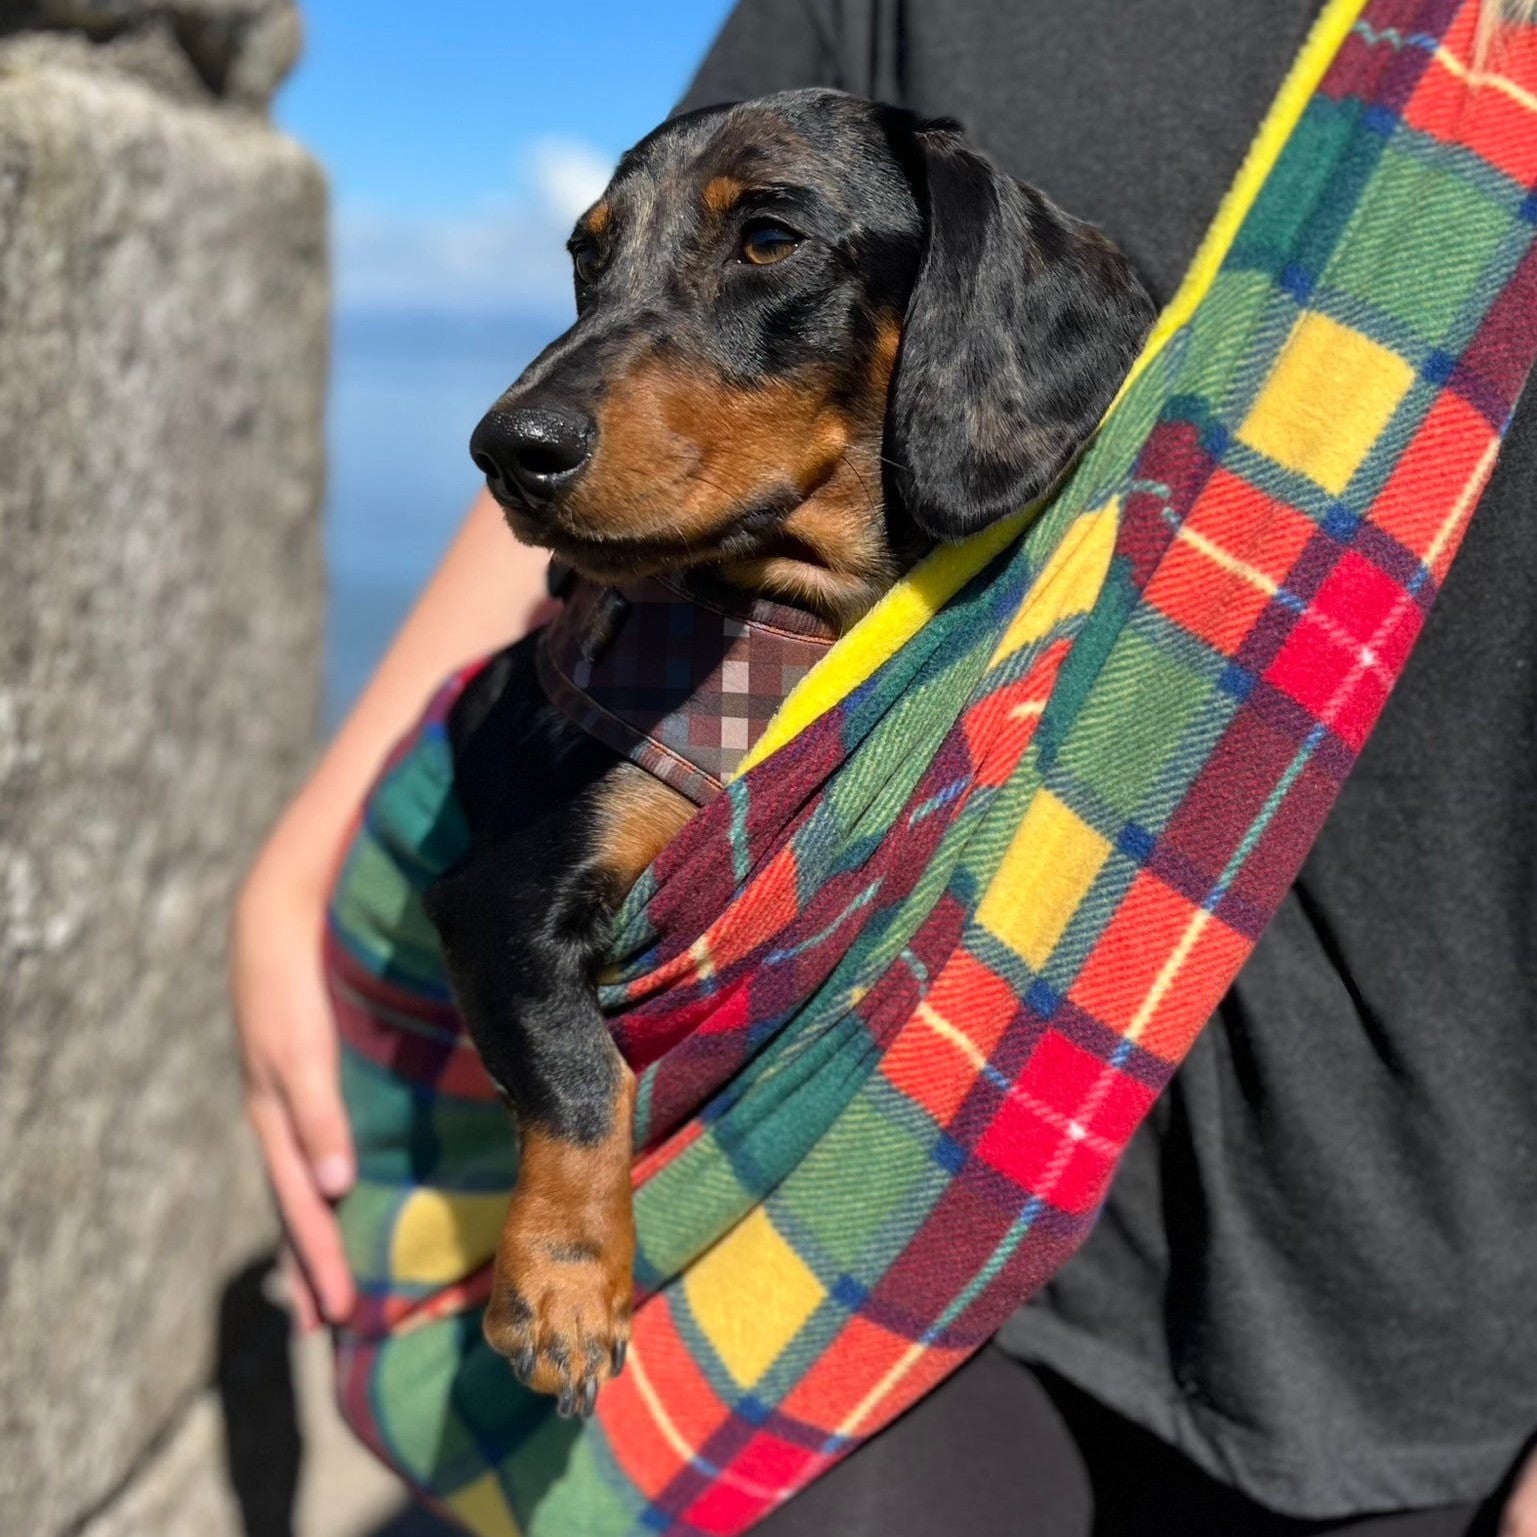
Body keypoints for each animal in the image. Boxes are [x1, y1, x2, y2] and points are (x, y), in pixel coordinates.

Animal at [424, 87, 1155, 1414]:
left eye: (768, 238)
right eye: (586, 255)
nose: (506, 448)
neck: (781, 620)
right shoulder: (493, 894)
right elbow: (578, 1069)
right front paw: (563, 1282)